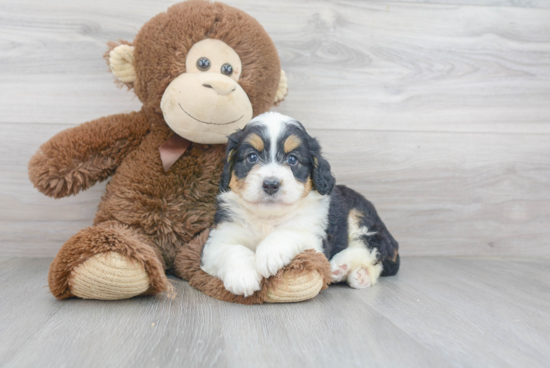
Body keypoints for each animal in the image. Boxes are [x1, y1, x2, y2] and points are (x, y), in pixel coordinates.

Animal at [203, 111, 402, 296]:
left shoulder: (315, 240)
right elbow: (232, 249)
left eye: (292, 159)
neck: (268, 217)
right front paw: (243, 277)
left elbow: (289, 233)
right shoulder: (218, 239)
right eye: (252, 157)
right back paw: (359, 275)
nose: (271, 184)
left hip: (360, 213)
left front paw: (268, 254)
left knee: (374, 244)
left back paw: (342, 264)